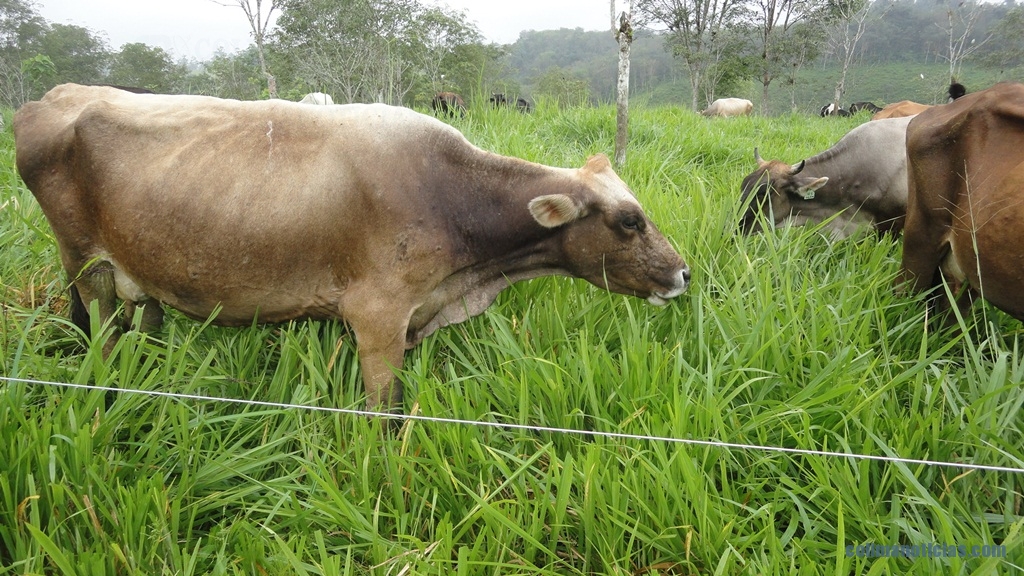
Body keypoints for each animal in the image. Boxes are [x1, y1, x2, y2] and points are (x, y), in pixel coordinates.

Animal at [13, 83, 690, 412]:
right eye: (629, 220)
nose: (682, 273)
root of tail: (49, 98)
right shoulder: (378, 317)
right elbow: (384, 414)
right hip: (88, 269)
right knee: (102, 338)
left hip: (143, 273)